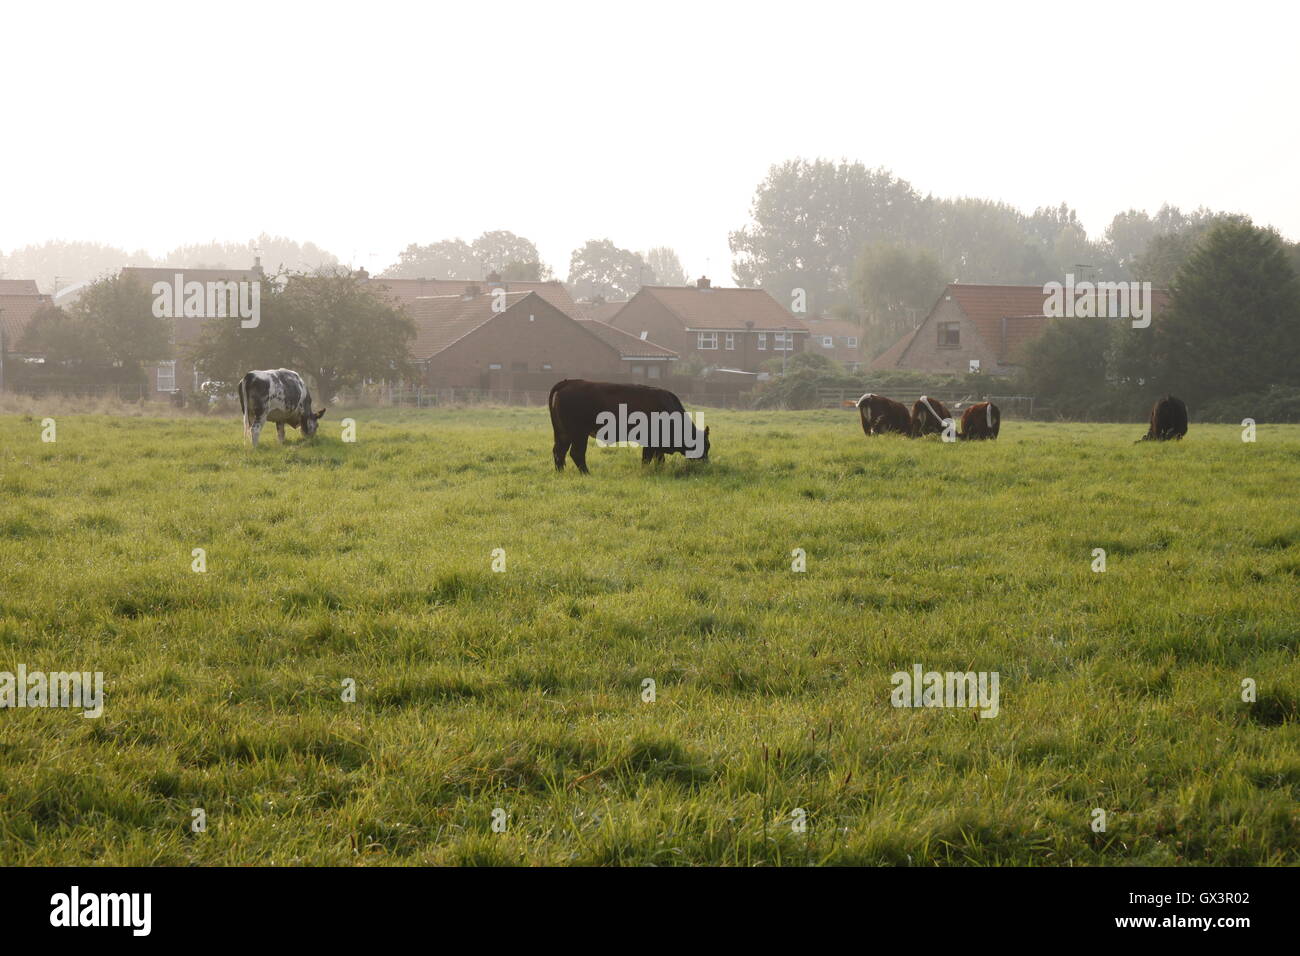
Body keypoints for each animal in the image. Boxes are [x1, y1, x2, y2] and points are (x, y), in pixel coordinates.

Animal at [548, 377, 712, 476]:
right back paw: (587, 474)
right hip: (579, 434)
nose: (706, 464)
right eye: (703, 445)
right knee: (576, 453)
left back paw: (560, 472)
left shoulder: (657, 445)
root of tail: (568, 382)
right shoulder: (651, 443)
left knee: (559, 452)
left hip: (563, 433)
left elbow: (659, 459)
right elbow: (647, 459)